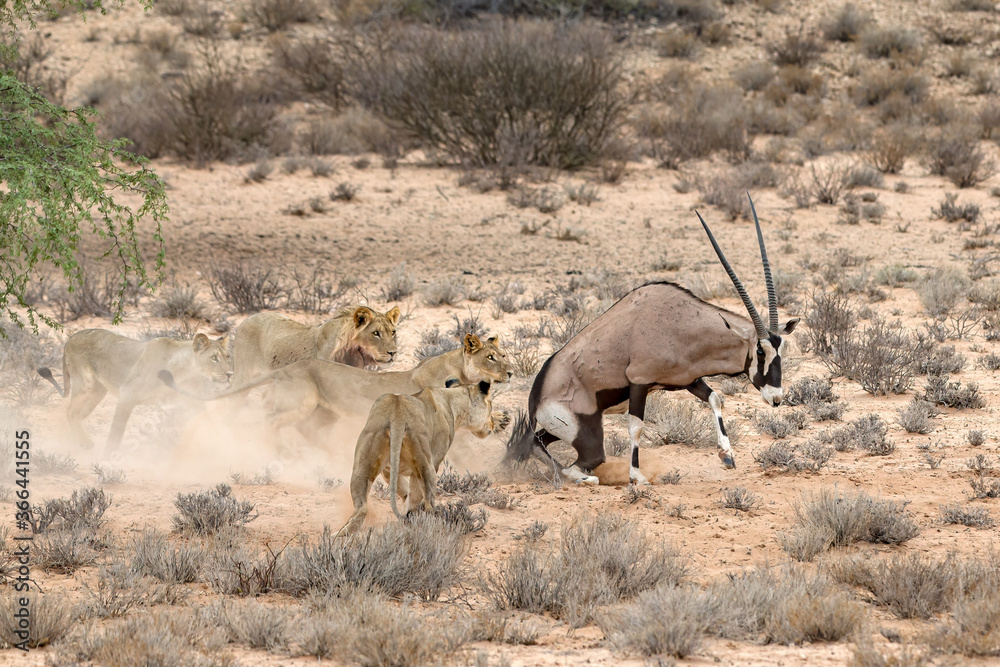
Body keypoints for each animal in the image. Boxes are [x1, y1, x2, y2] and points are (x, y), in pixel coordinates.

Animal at [38, 329, 232, 452]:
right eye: (214, 358)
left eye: (227, 357)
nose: (230, 374)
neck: (183, 370)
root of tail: (69, 340)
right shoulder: (127, 394)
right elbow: (116, 432)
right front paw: (107, 458)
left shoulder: (194, 402)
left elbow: (208, 423)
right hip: (84, 385)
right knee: (71, 411)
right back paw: (85, 443)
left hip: (96, 393)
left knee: (76, 415)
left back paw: (74, 442)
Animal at [161, 333, 511, 448]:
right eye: (491, 357)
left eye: (505, 354)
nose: (510, 371)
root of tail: (286, 368)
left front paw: (502, 421)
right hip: (303, 402)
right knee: (270, 421)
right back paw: (279, 453)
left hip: (320, 413)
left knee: (304, 431)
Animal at [334, 380, 496, 537]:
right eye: (490, 404)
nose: (493, 425)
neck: (452, 401)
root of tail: (397, 412)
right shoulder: (433, 460)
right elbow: (415, 496)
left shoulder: (389, 470)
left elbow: (405, 491)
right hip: (426, 464)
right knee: (429, 504)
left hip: (363, 463)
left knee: (361, 508)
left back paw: (340, 533)